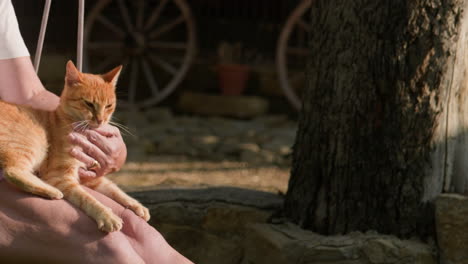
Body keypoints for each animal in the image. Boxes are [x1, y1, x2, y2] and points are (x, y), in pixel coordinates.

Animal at [0, 60, 149, 232]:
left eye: (108, 106)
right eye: (89, 104)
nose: (100, 120)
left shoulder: (89, 177)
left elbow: (115, 189)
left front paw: (137, 205)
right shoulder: (61, 176)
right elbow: (87, 198)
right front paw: (107, 216)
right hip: (34, 142)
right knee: (13, 171)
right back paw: (51, 190)